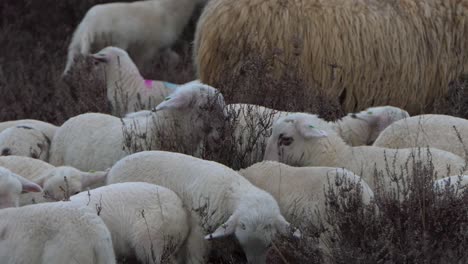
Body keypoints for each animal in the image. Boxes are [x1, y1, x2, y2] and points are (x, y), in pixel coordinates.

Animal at [63, 0, 206, 75]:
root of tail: (90, 27)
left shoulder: (162, 47)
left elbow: (174, 59)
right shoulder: (148, 49)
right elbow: (142, 66)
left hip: (76, 45)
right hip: (114, 43)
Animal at [107, 151, 300, 264]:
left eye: (268, 246)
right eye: (243, 243)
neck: (231, 190)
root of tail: (112, 168)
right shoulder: (198, 230)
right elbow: (195, 254)